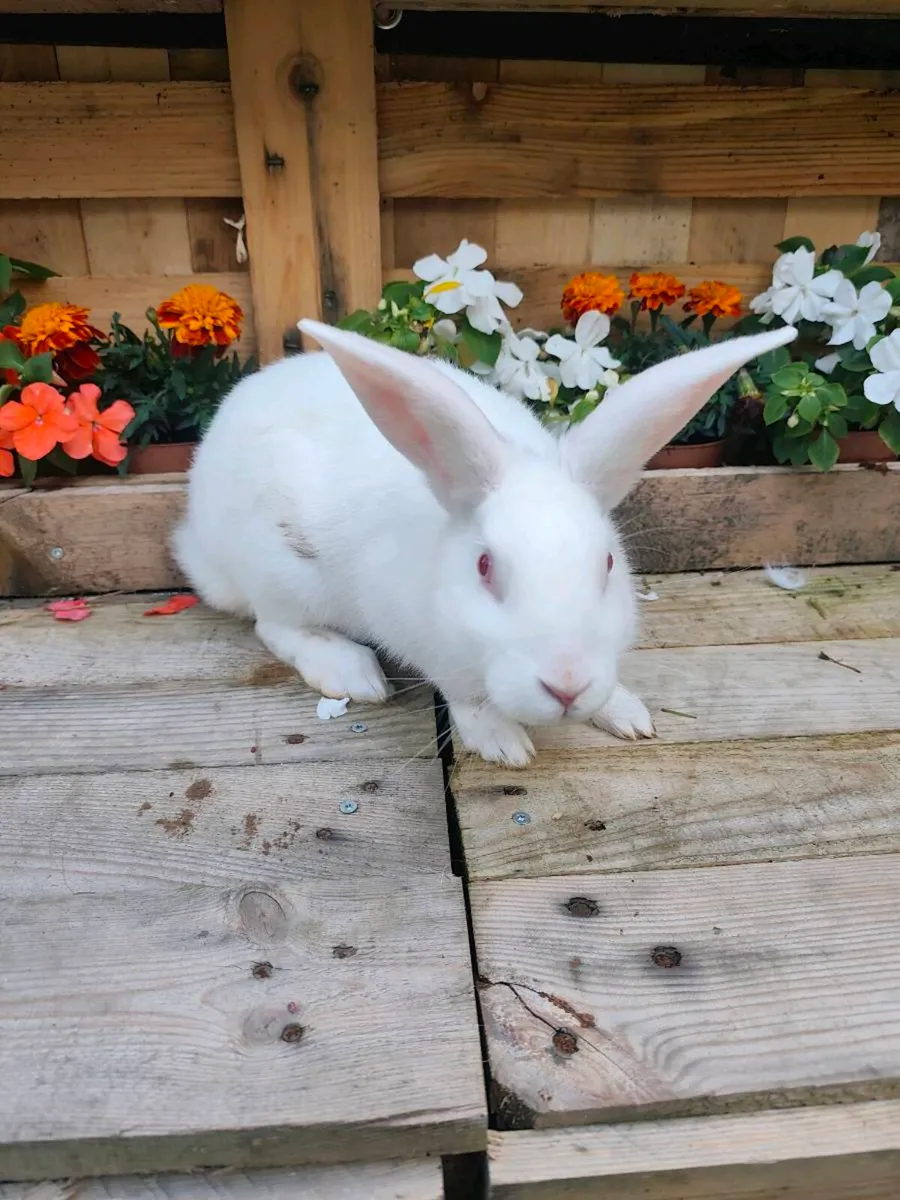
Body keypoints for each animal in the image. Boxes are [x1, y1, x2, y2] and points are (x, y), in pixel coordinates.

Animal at [173, 318, 797, 767]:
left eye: (608, 564)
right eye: (484, 566)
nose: (567, 685)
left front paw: (626, 711)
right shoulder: (424, 638)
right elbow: (464, 695)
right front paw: (500, 739)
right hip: (283, 574)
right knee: (273, 626)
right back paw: (352, 672)